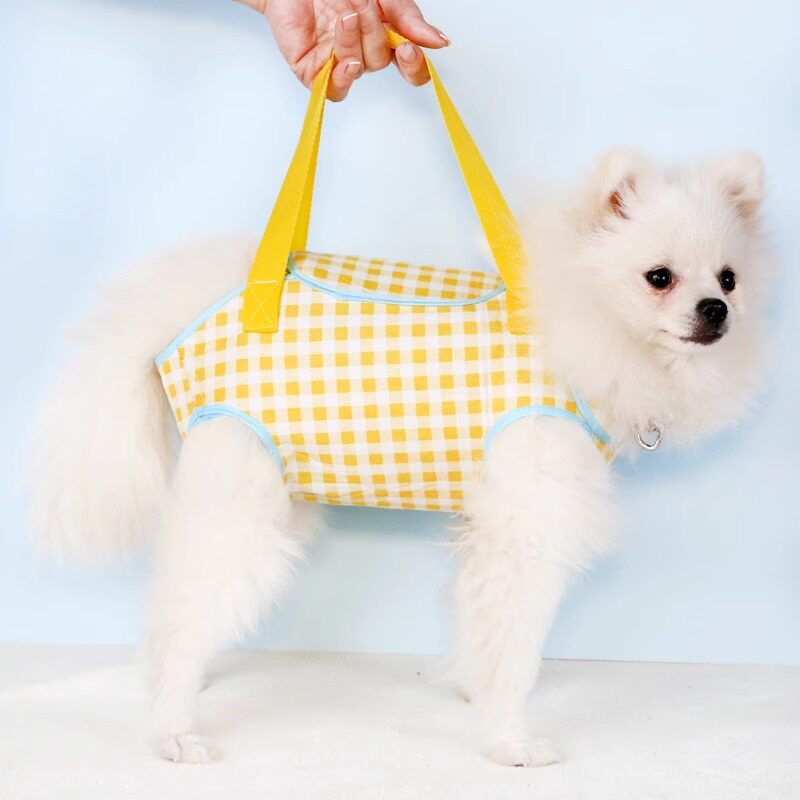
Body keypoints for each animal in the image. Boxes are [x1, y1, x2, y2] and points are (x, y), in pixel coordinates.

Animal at [29, 147, 772, 765]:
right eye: (659, 277)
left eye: (730, 279)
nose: (715, 310)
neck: (576, 323)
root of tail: (205, 301)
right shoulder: (528, 523)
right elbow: (515, 646)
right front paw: (510, 741)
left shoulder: (491, 524)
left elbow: (479, 627)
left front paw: (475, 693)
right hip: (245, 504)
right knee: (182, 617)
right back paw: (172, 729)